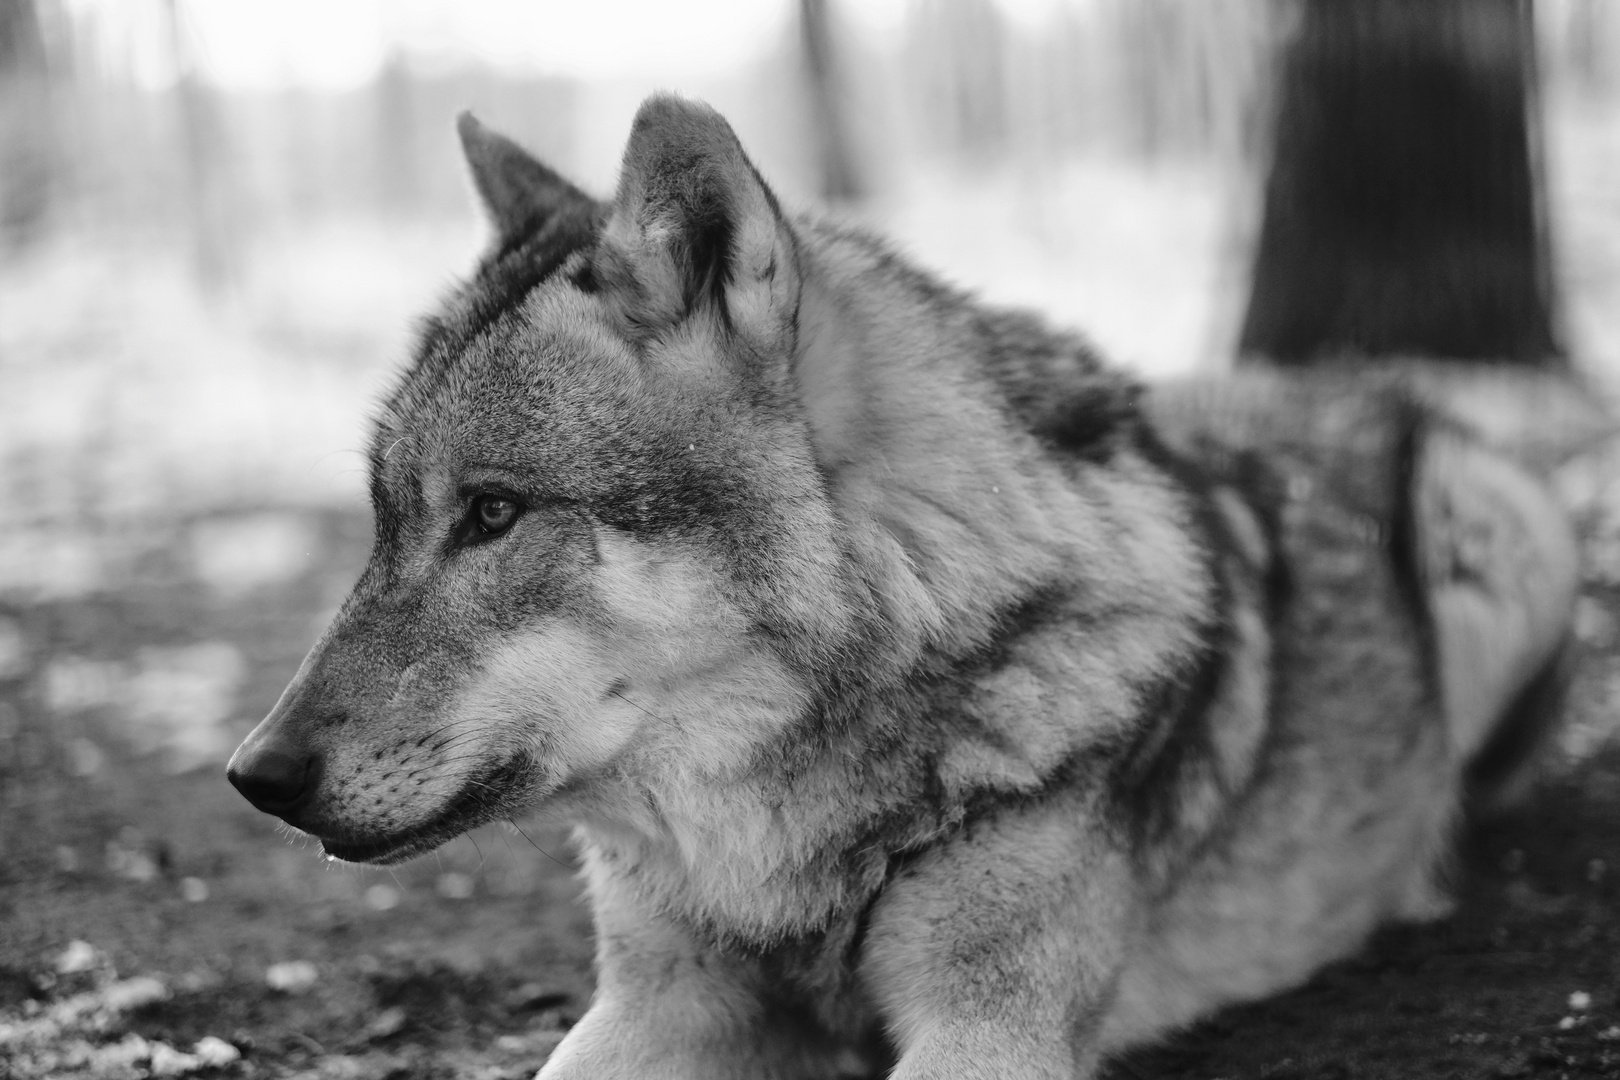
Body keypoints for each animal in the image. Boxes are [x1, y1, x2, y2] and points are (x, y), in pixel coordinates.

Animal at [228, 97, 1581, 1075]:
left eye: (494, 512)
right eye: (384, 519)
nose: (256, 775)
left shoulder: (990, 1027)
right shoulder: (659, 996)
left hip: (1497, 540)